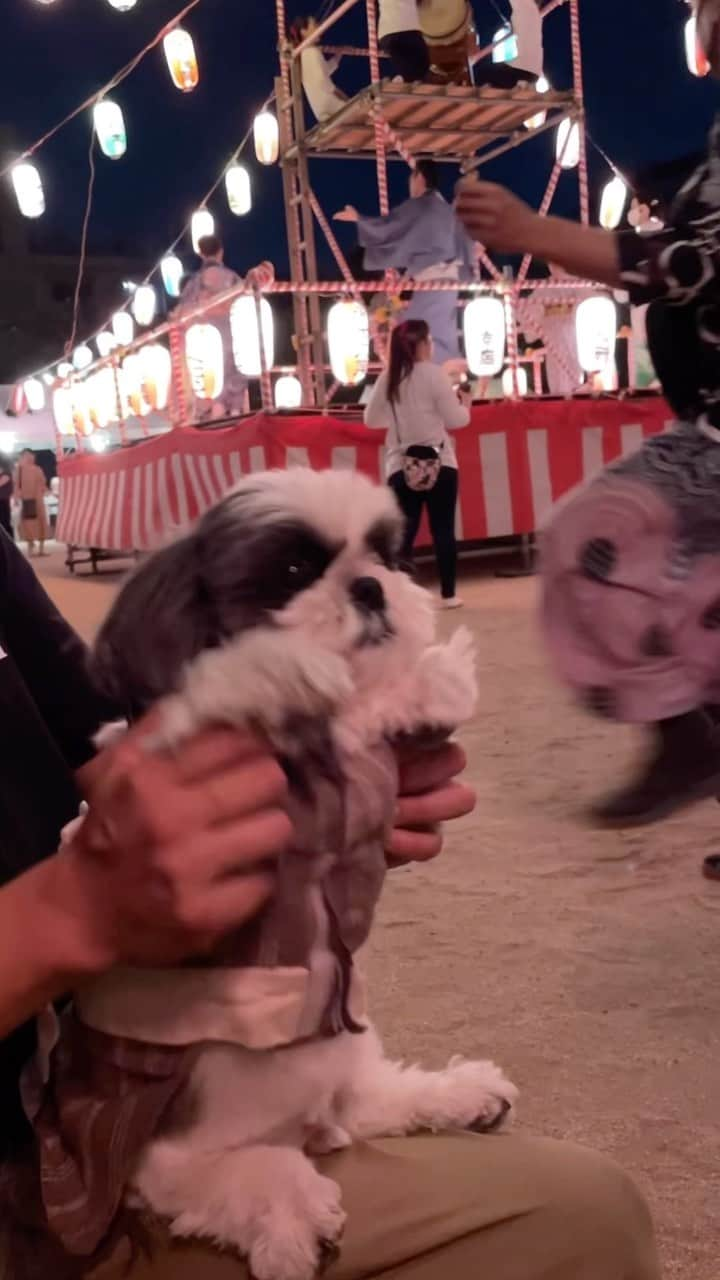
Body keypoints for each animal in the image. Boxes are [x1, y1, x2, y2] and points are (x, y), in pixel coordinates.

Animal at [23, 468, 515, 1280]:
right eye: (290, 570)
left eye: (387, 554)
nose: (370, 586)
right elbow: (280, 690)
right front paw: (394, 680)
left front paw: (425, 679)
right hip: (172, 1149)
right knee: (235, 1175)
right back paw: (293, 1217)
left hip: (343, 1064)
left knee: (371, 1097)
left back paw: (460, 1093)